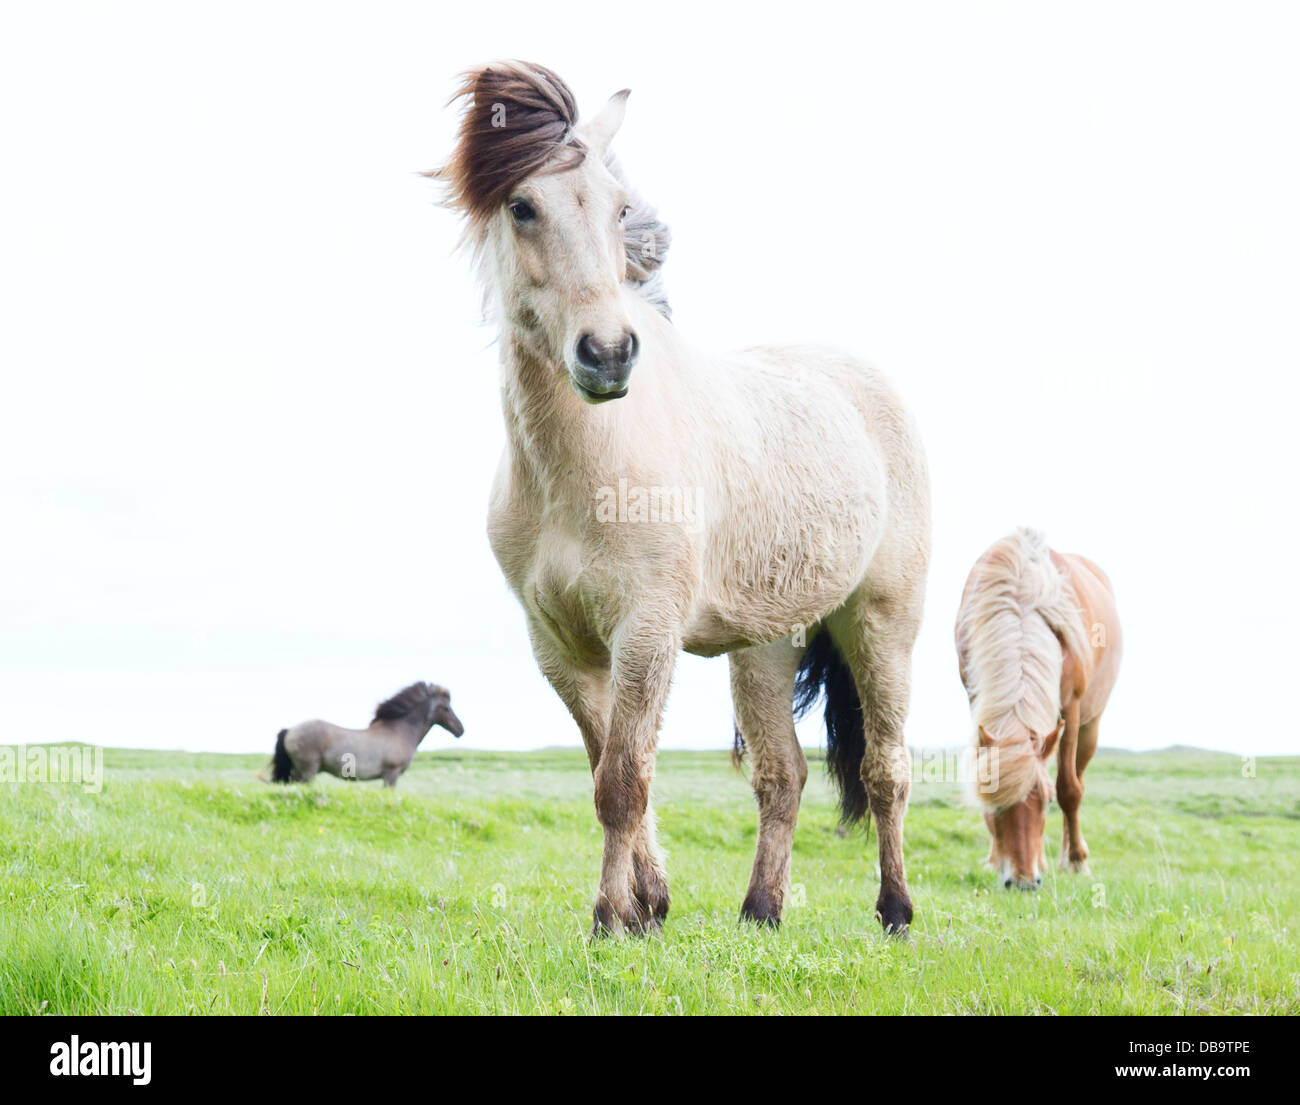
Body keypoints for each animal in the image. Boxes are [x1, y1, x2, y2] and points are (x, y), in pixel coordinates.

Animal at [267, 681, 462, 785]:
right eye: (446, 708)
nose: (460, 729)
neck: (400, 731)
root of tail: (290, 730)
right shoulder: (391, 774)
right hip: (307, 771)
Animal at [431, 64, 930, 935]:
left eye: (619, 208)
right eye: (522, 206)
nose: (606, 353)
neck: (585, 468)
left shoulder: (645, 632)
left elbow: (622, 778)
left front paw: (609, 917)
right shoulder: (560, 646)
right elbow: (610, 768)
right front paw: (648, 903)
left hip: (880, 625)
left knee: (885, 768)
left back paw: (896, 909)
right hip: (766, 645)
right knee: (783, 775)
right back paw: (761, 910)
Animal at [951, 527, 1123, 889]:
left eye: (1046, 802)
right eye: (995, 807)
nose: (1024, 882)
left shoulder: (1070, 709)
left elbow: (1069, 790)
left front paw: (1077, 862)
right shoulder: (975, 697)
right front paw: (994, 859)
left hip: (1089, 728)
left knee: (1077, 779)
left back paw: (1069, 857)